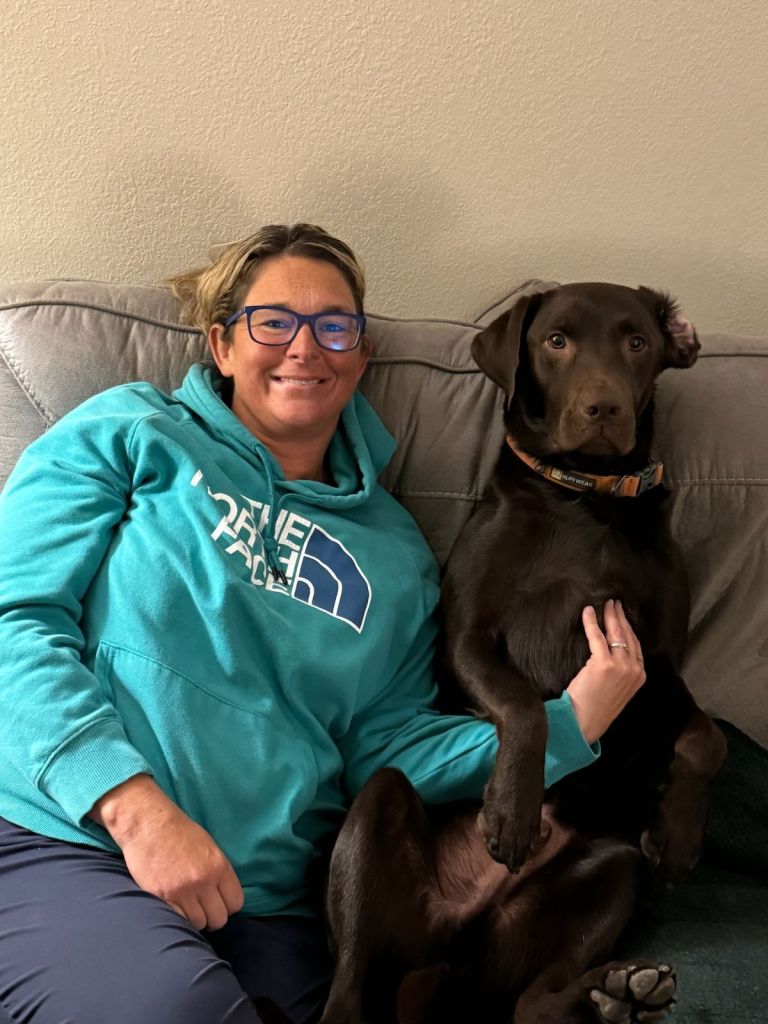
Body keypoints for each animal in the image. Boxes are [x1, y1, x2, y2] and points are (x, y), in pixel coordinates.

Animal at [319, 282, 729, 1024]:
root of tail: (450, 943)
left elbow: (707, 735)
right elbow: (524, 706)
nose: (604, 408)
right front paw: (512, 811)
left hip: (604, 874)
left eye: (637, 342)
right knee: (349, 988)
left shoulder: (658, 660)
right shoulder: (465, 637)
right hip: (376, 819)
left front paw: (681, 832)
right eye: (556, 340)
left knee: (532, 1002)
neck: (585, 498)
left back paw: (622, 993)